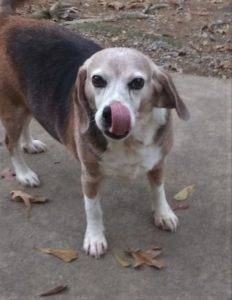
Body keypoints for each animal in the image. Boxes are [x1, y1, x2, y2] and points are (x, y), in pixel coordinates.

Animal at [0, 0, 189, 258]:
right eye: (97, 80)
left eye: (137, 83)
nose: (110, 114)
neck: (128, 141)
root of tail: (9, 19)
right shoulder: (89, 176)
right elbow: (94, 209)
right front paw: (95, 238)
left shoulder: (158, 162)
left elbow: (158, 190)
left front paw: (163, 213)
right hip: (13, 107)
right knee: (10, 143)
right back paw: (24, 173)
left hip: (27, 101)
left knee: (26, 126)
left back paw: (29, 143)